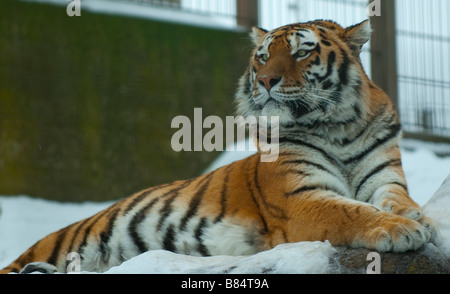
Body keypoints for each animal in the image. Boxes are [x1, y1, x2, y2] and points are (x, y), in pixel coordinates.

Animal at [1, 19, 442, 274]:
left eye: (302, 51)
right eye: (262, 56)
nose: (265, 81)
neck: (339, 127)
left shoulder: (384, 181)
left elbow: (398, 201)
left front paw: (419, 219)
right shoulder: (301, 200)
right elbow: (350, 212)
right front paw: (401, 229)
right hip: (63, 242)